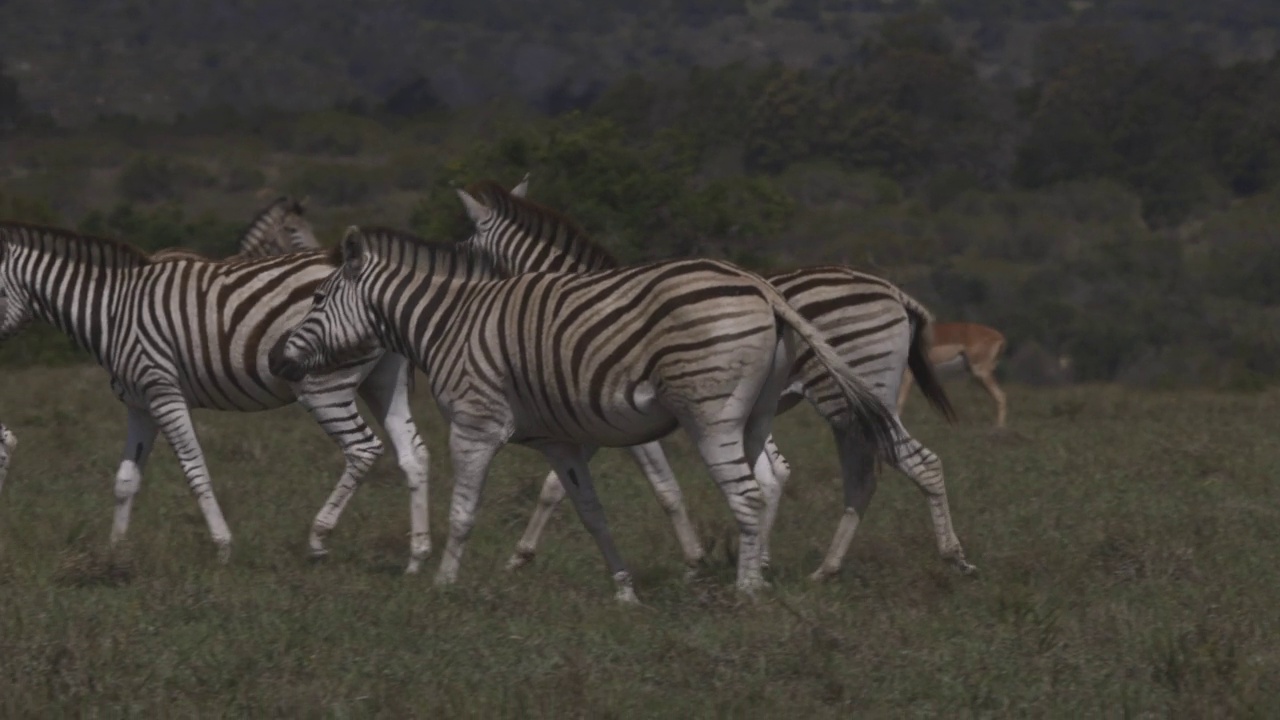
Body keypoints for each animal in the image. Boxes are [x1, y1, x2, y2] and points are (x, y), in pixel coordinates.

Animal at [0, 221, 432, 568]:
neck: (112, 310)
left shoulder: (164, 394)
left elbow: (195, 470)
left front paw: (223, 546)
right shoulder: (140, 405)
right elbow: (125, 480)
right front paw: (114, 555)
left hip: (322, 385)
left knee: (363, 449)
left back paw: (318, 539)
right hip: (382, 381)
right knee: (414, 454)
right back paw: (418, 555)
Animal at [270, 225, 901, 599]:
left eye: (317, 300)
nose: (278, 360)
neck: (448, 322)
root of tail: (762, 288)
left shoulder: (475, 424)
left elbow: (464, 512)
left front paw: (444, 586)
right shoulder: (560, 441)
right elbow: (590, 512)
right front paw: (623, 590)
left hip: (710, 412)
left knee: (746, 494)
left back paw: (745, 594)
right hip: (753, 416)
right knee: (763, 485)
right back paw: (757, 577)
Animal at [455, 178, 972, 576]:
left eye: (468, 248)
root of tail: (893, 290)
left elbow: (645, 489)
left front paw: (695, 560)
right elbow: (556, 485)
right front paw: (522, 556)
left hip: (850, 396)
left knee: (913, 463)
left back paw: (952, 557)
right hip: (850, 406)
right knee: (864, 479)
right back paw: (824, 569)